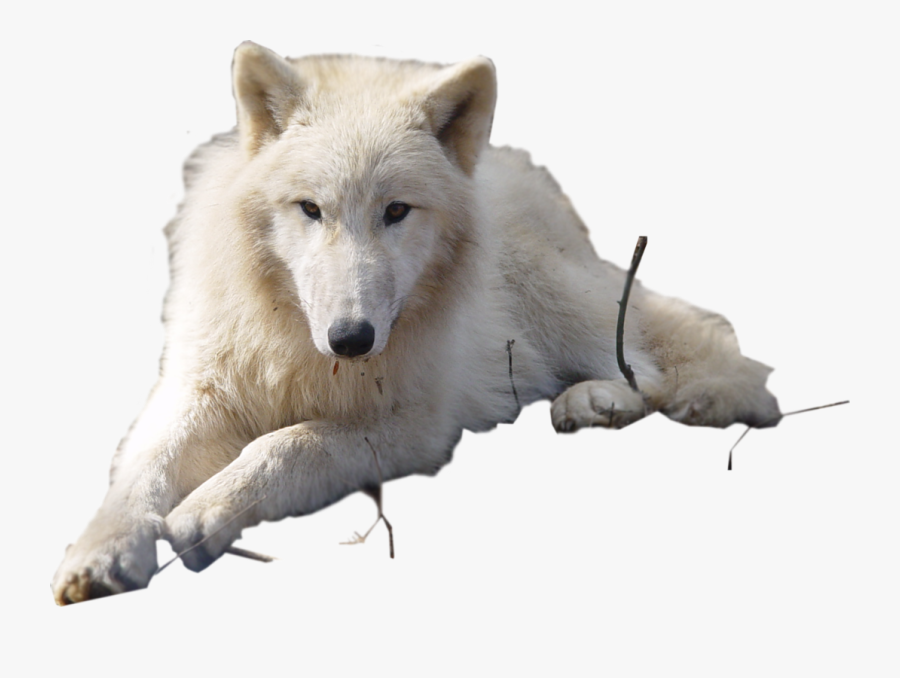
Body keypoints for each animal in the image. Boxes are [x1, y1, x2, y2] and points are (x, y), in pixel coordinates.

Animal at [52, 42, 780, 605]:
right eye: (310, 209)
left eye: (396, 211)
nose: (352, 338)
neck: (301, 348)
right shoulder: (198, 388)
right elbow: (142, 467)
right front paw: (101, 553)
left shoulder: (417, 422)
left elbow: (289, 444)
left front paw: (205, 510)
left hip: (545, 290)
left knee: (644, 364)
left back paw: (596, 401)